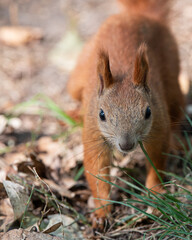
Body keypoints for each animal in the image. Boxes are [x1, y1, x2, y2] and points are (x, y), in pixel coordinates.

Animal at [67, 0, 184, 232]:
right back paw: (73, 113)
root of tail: (136, 15)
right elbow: (97, 172)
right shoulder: (93, 135)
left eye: (148, 112)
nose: (126, 145)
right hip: (76, 79)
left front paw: (156, 194)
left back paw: (178, 142)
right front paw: (101, 213)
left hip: (172, 80)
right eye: (101, 114)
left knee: (178, 110)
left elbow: (157, 163)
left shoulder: (158, 128)